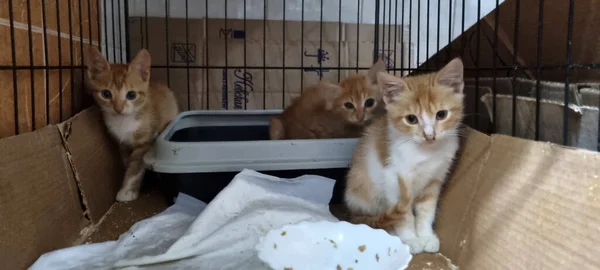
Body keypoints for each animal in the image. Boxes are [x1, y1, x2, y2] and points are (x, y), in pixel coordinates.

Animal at [84, 47, 179, 201]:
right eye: (106, 94)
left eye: (131, 95)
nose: (118, 108)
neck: (123, 122)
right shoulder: (122, 144)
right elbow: (127, 162)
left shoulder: (145, 142)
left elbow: (135, 167)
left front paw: (127, 191)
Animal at [344, 58, 466, 254]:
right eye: (411, 119)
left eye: (441, 114)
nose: (429, 135)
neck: (426, 152)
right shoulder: (394, 180)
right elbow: (404, 214)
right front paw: (410, 239)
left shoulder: (434, 180)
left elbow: (426, 211)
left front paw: (426, 236)